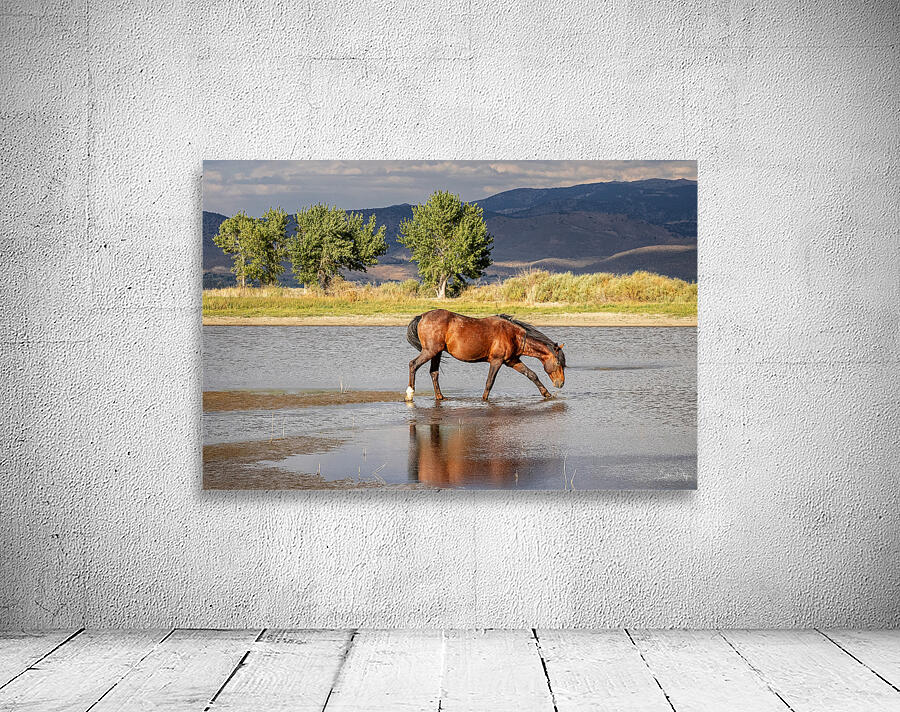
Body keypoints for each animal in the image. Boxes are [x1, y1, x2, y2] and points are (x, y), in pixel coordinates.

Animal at [405, 309, 566, 401]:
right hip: (430, 351)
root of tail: (422, 316)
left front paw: (547, 394)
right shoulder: (496, 361)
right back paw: (409, 394)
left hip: (436, 353)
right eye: (558, 363)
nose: (561, 383)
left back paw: (440, 397)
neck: (513, 335)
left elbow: (532, 375)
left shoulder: (513, 361)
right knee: (413, 365)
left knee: (434, 373)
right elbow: (490, 382)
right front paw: (484, 399)